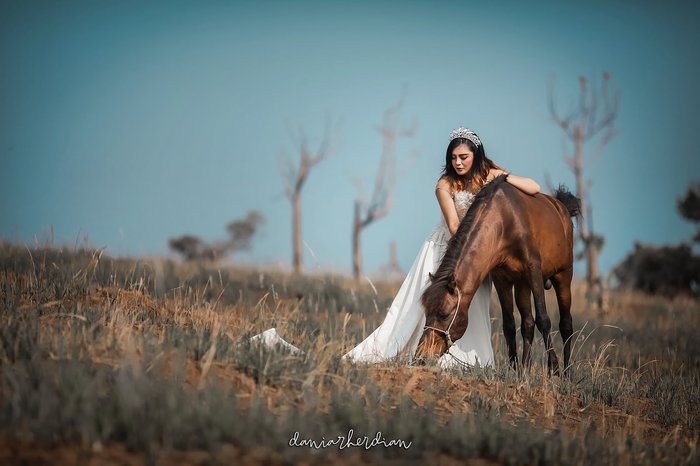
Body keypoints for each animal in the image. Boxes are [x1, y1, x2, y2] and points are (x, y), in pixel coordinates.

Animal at [416, 174, 581, 375]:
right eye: (426, 313)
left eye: (444, 314)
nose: (421, 356)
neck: (504, 222)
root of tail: (561, 208)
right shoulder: (502, 279)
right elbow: (509, 325)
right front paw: (514, 369)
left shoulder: (534, 271)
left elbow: (544, 319)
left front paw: (554, 367)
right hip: (522, 284)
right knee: (527, 323)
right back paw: (525, 368)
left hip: (563, 277)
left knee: (565, 324)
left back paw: (566, 372)